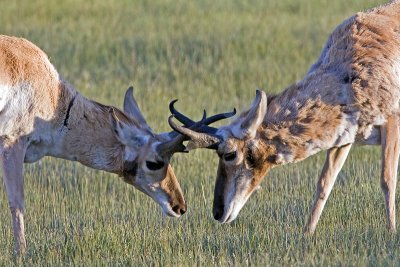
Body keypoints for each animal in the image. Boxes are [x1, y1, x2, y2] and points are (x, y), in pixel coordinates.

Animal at [0, 34, 234, 254]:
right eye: (154, 163)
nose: (180, 206)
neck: (56, 98)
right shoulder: (12, 144)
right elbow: (17, 202)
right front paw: (21, 253)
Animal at [170, 1, 400, 233]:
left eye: (229, 154)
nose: (218, 213)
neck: (343, 76)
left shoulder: (392, 122)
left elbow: (387, 179)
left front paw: (391, 231)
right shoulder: (343, 138)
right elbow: (324, 183)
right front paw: (307, 233)